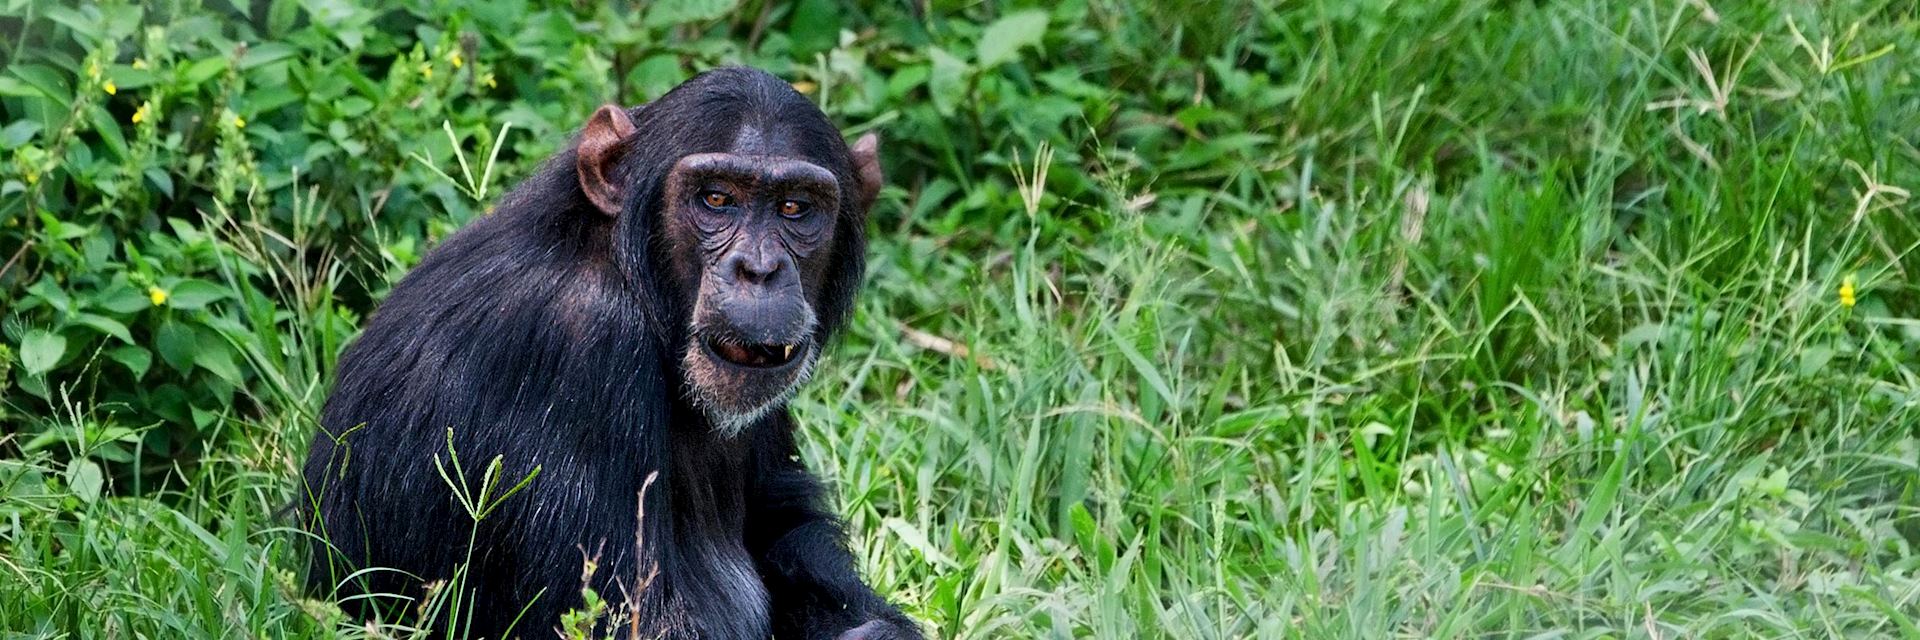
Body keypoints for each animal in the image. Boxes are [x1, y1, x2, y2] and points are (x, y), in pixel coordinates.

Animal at [301, 65, 921, 638]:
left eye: (795, 208)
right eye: (717, 198)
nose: (760, 268)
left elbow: (784, 527)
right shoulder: (580, 346)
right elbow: (622, 615)